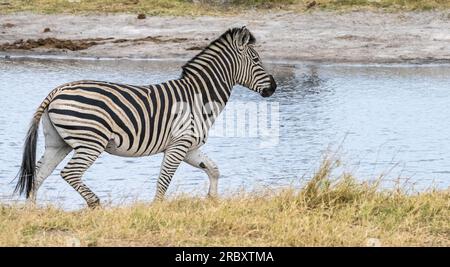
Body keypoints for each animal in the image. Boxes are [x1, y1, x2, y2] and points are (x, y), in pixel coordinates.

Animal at [14, 26, 274, 208]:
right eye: (256, 60)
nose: (274, 87)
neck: (199, 97)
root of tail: (57, 91)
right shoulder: (179, 144)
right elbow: (164, 180)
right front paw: (157, 210)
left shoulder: (190, 147)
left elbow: (213, 169)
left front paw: (212, 200)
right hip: (91, 142)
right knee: (69, 173)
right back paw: (95, 204)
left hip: (58, 143)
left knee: (37, 175)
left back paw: (32, 213)